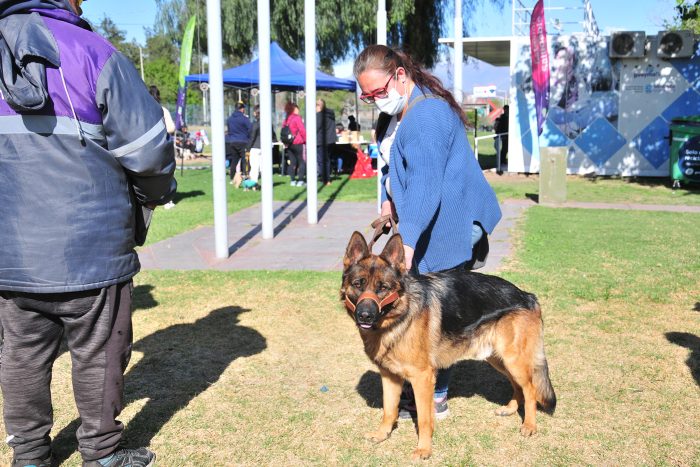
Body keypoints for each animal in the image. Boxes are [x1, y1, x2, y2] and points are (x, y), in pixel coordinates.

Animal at [342, 232, 556, 458]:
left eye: (383, 288)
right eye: (358, 284)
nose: (365, 315)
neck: (400, 315)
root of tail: (527, 296)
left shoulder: (422, 378)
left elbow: (424, 419)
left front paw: (424, 448)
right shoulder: (390, 376)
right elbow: (388, 410)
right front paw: (382, 434)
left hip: (513, 360)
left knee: (531, 389)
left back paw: (530, 425)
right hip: (499, 359)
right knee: (518, 386)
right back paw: (510, 409)